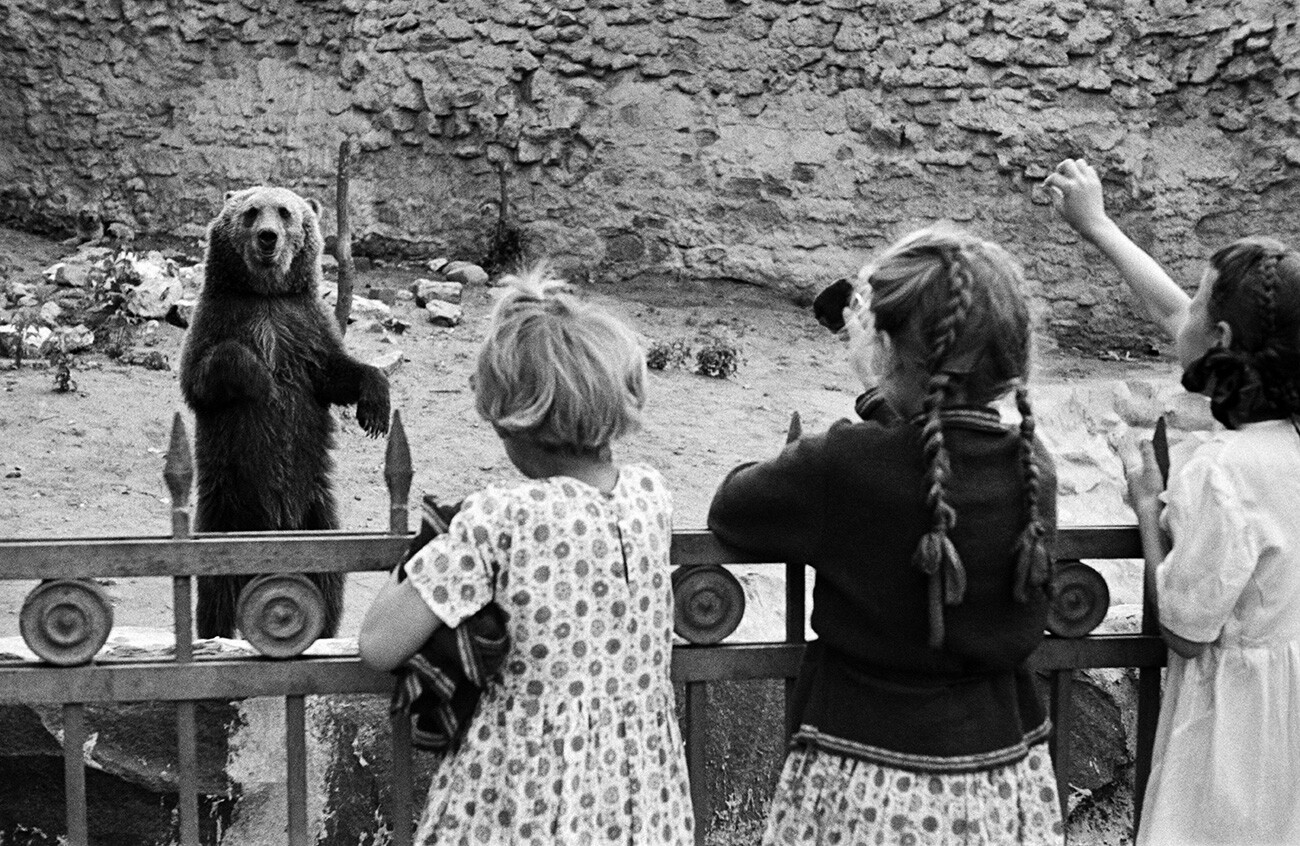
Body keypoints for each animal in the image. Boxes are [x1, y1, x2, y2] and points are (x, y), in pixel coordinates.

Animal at [182, 185, 390, 634]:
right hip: (225, 510)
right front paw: (261, 378)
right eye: (251, 212)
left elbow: (338, 373)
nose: (267, 237)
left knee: (328, 581)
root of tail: (275, 534)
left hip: (317, 511)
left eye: (284, 211)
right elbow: (206, 375)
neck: (267, 294)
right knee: (216, 590)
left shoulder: (305, 326)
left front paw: (376, 408)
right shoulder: (221, 319)